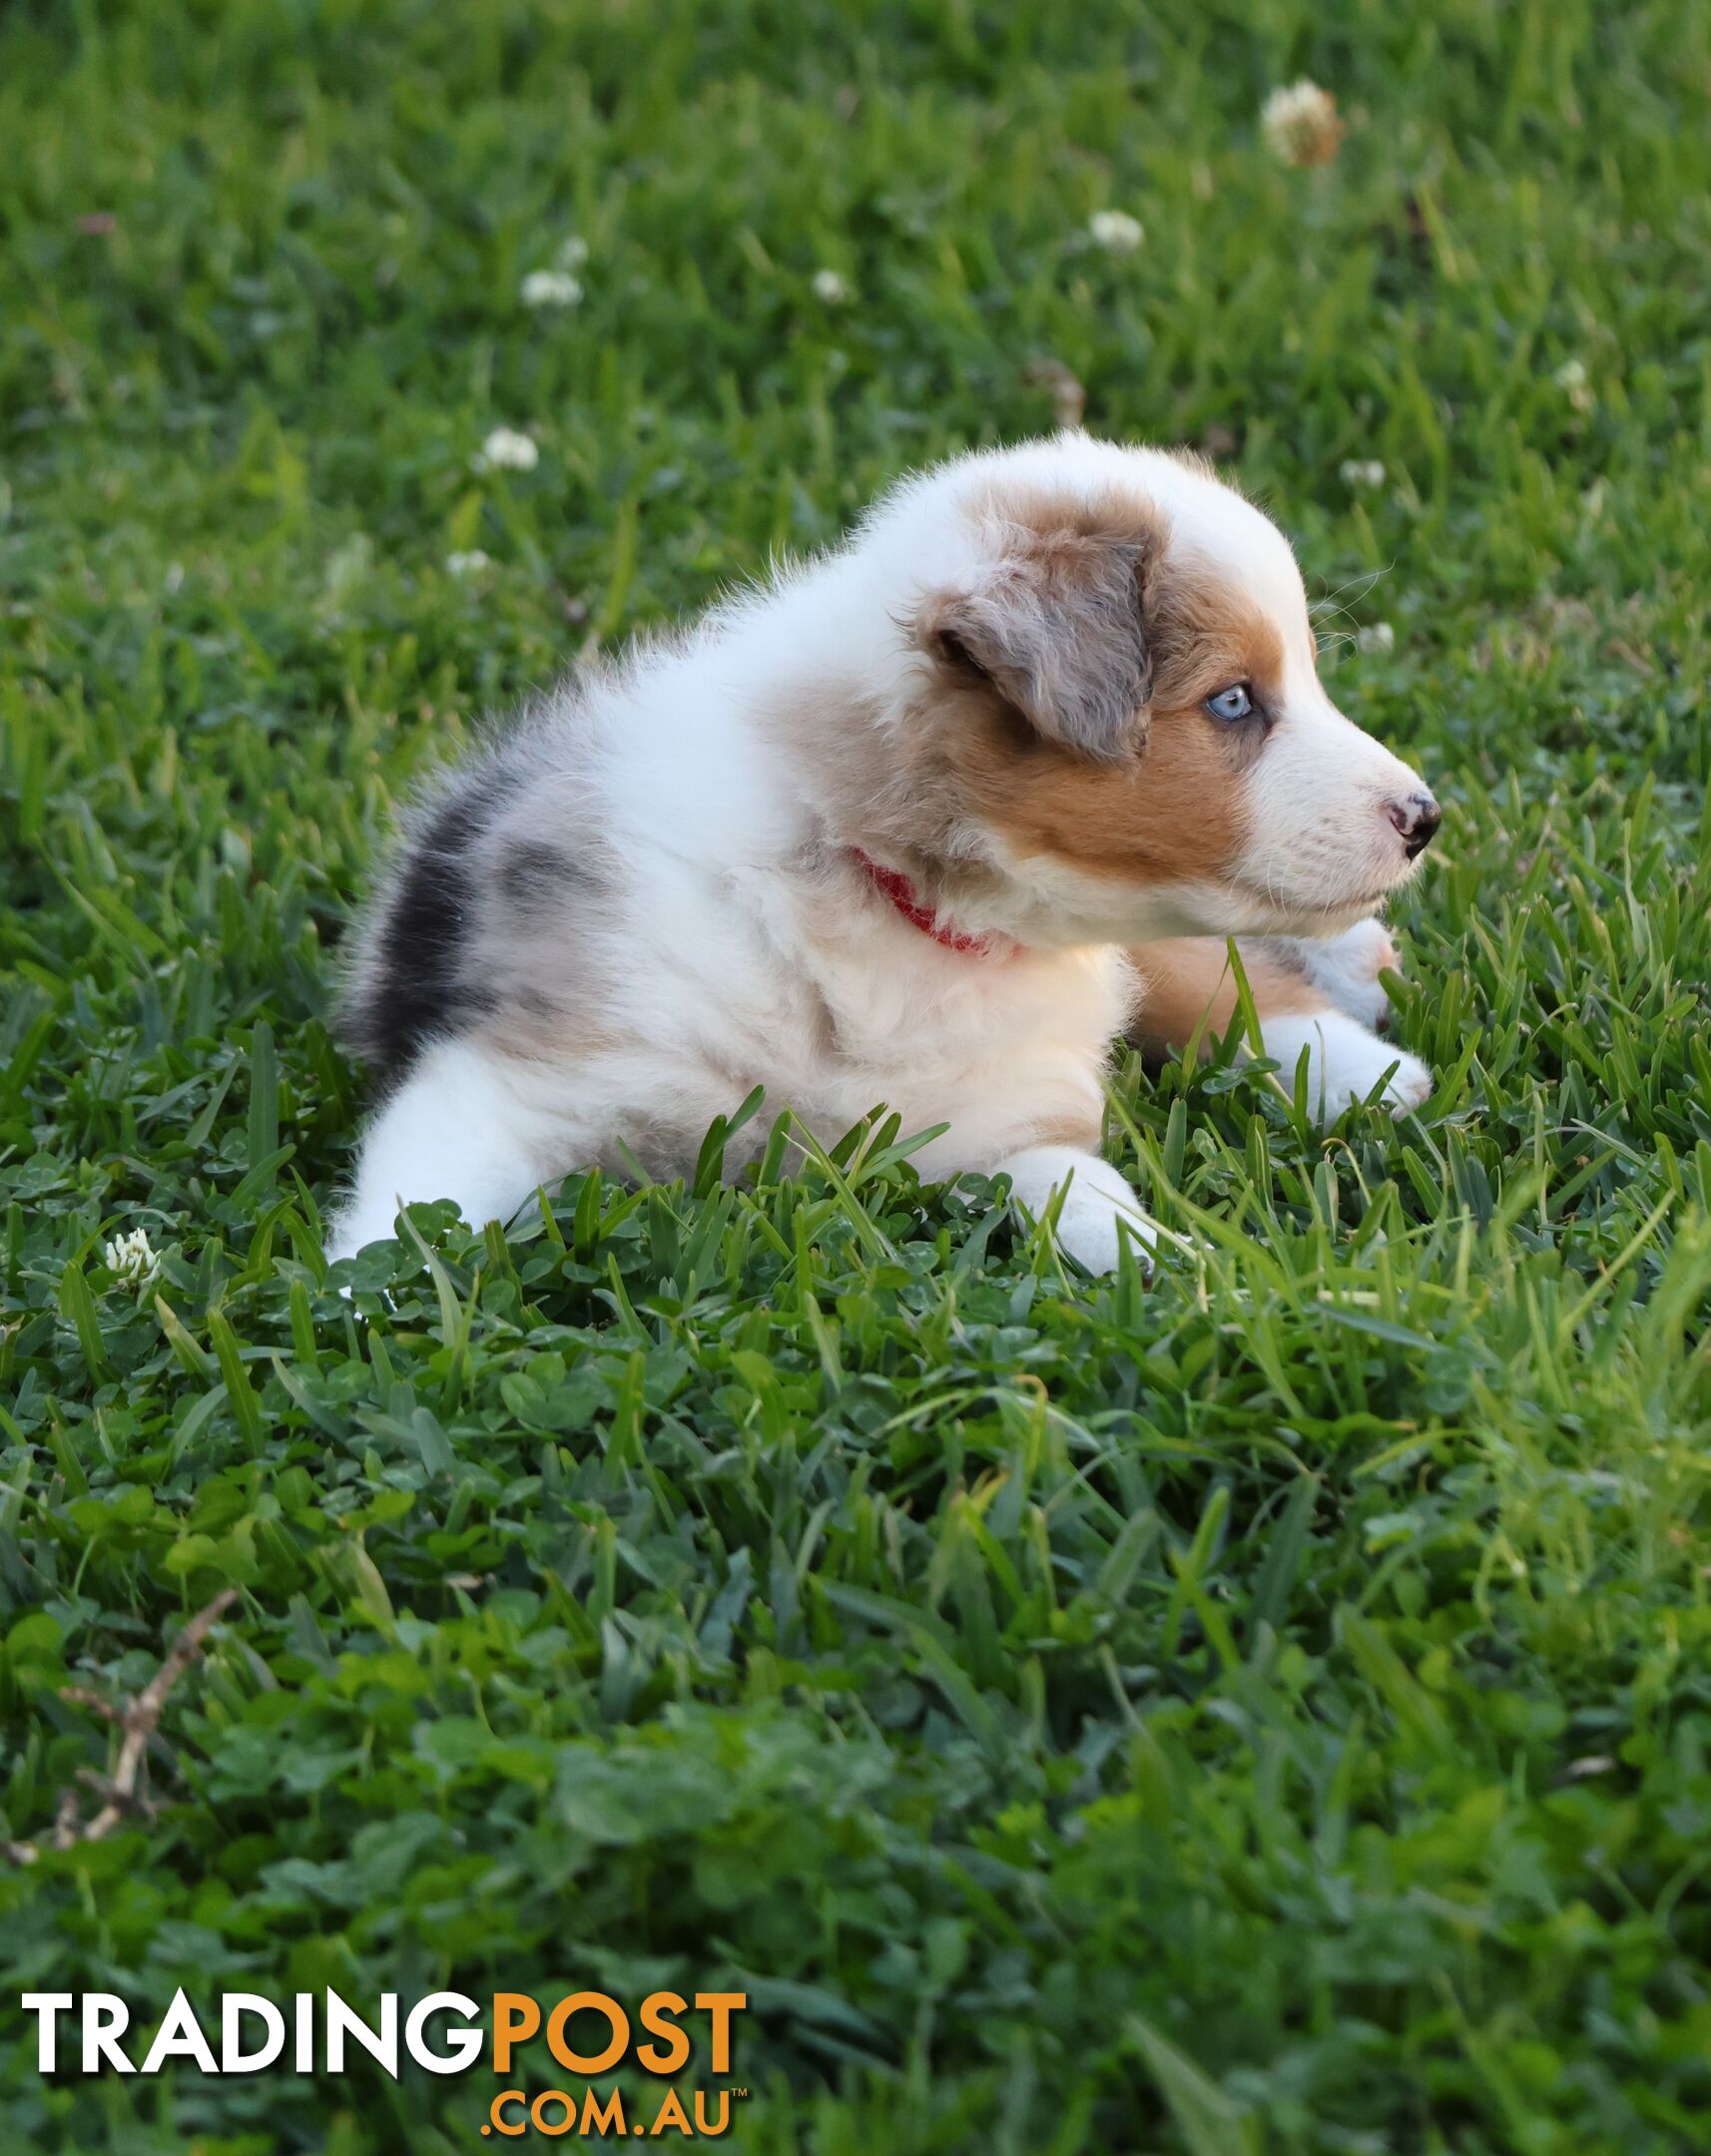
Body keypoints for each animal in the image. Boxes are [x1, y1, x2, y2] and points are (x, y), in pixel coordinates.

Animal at [327, 439, 1430, 1276]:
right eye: (1235, 702)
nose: (1426, 817)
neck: (873, 882)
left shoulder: (1007, 1119)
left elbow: (1087, 1190)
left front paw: (1178, 1267)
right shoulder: (518, 1077)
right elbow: (404, 1225)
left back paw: (1365, 1064)